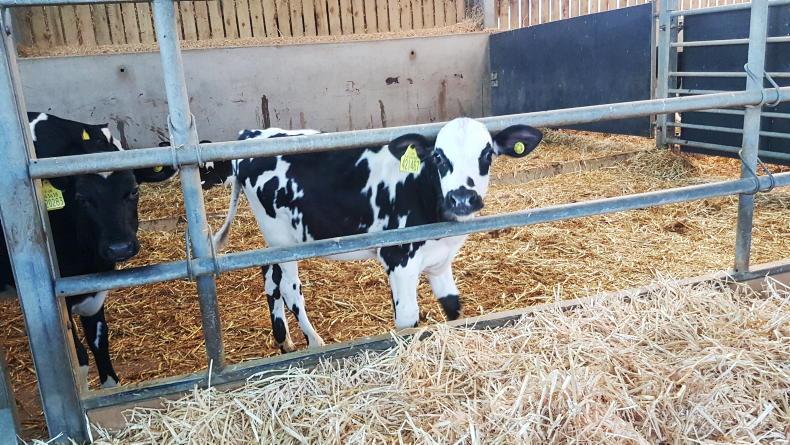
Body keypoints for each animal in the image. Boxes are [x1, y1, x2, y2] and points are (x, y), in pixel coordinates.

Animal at [0, 113, 177, 389]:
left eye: (134, 190)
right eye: (81, 198)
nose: (119, 248)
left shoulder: (94, 288)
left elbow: (99, 342)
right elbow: (80, 358)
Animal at [200, 117, 543, 353]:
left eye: (487, 155)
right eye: (439, 157)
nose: (462, 198)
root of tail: (252, 134)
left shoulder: (440, 261)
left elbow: (453, 308)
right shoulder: (399, 260)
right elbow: (408, 320)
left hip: (280, 240)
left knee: (268, 275)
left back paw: (284, 342)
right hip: (282, 239)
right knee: (288, 287)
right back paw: (314, 341)